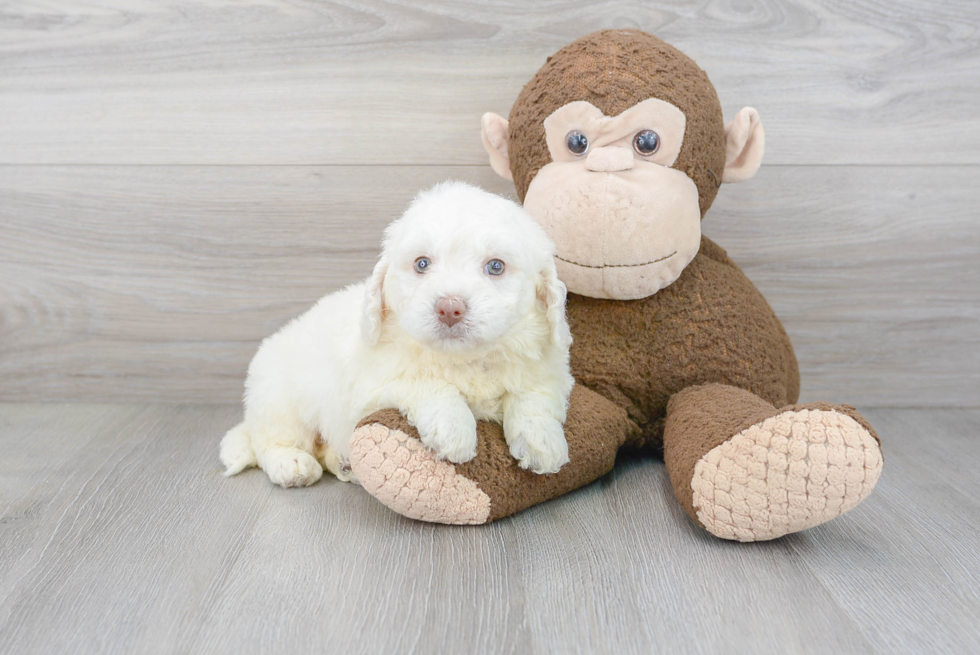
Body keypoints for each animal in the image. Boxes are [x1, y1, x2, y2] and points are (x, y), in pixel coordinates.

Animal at [222, 179, 576, 486]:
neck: (464, 359)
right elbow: (430, 383)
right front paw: (454, 429)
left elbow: (534, 396)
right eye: (422, 264)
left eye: (496, 267)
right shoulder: (376, 384)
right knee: (271, 442)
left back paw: (344, 463)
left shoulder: (548, 368)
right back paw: (292, 464)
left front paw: (543, 442)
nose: (449, 308)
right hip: (279, 400)